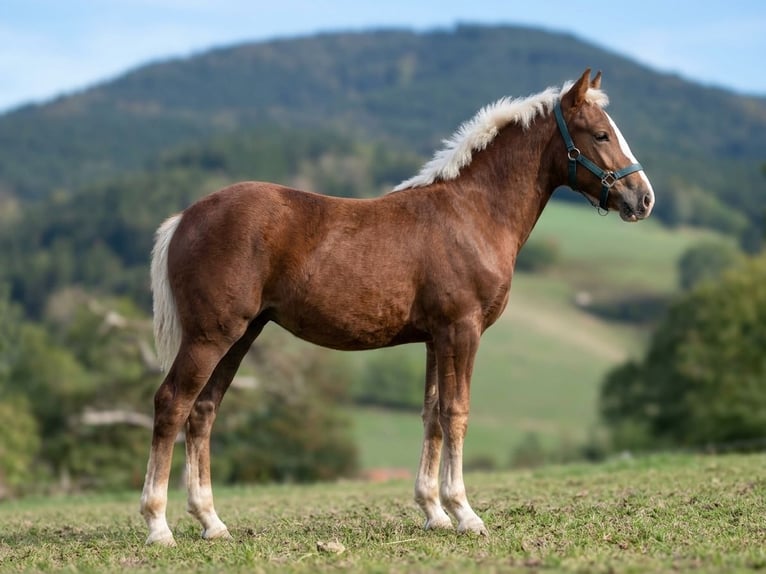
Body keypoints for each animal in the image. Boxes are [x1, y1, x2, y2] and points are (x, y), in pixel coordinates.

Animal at [140, 69, 655, 545]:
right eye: (601, 134)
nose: (644, 199)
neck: (472, 213)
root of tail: (184, 217)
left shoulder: (434, 338)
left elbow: (431, 416)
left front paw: (434, 512)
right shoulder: (462, 329)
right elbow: (456, 412)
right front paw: (465, 513)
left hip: (241, 334)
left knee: (203, 411)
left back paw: (212, 523)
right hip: (211, 334)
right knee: (172, 403)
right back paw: (158, 525)